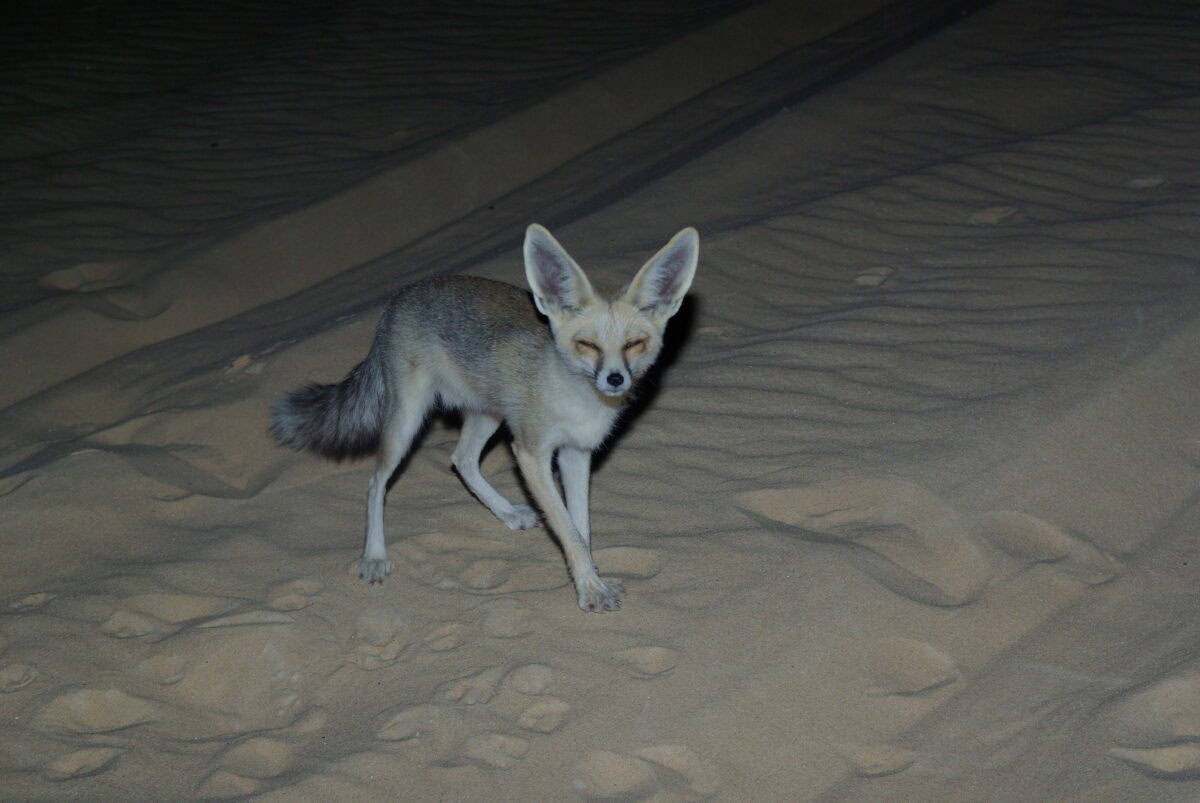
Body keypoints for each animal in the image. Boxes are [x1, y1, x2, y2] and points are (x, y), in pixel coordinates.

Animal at [270, 224, 698, 612]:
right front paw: (590, 588)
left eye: (634, 344)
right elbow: (568, 530)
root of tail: (403, 295)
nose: (614, 379)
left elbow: (582, 528)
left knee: (460, 460)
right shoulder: (531, 453)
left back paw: (506, 512)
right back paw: (374, 555)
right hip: (407, 422)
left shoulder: (576, 453)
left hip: (487, 416)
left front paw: (590, 577)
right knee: (376, 483)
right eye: (587, 345)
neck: (577, 400)